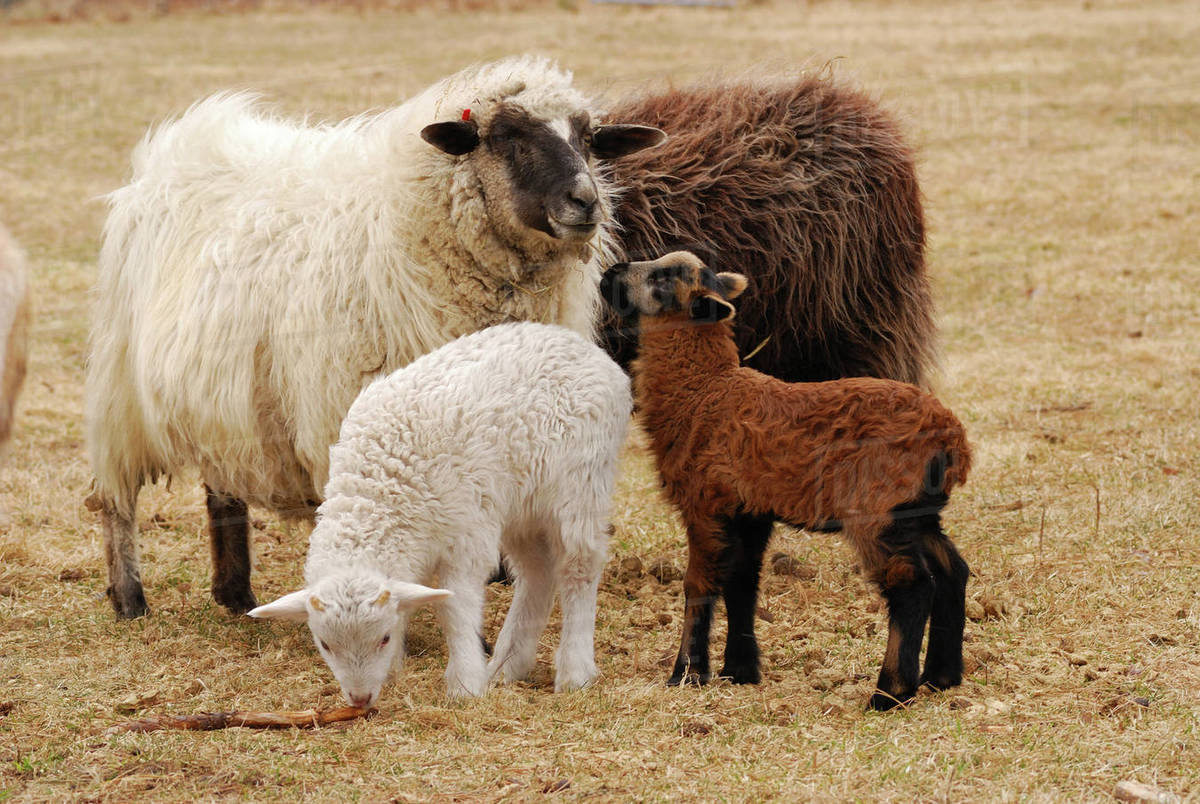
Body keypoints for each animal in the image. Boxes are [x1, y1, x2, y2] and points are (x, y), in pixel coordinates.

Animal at [85, 56, 664, 619]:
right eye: (505, 137)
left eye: (588, 138)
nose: (586, 201)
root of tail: (179, 143)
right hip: (120, 390)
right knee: (117, 502)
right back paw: (130, 599)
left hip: (223, 397)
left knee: (222, 485)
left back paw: (235, 594)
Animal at [247, 322, 631, 705]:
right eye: (325, 645)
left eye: (383, 638)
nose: (360, 699)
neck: (382, 487)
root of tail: (580, 345)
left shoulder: (466, 536)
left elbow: (454, 611)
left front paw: (465, 684)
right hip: (522, 504)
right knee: (537, 572)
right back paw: (507, 666)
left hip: (581, 484)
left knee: (578, 567)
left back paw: (575, 671)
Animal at [601, 251, 971, 711]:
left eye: (663, 278)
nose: (610, 272)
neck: (705, 390)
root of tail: (951, 438)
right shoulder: (748, 510)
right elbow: (742, 583)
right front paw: (739, 671)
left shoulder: (705, 503)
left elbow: (698, 586)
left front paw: (686, 673)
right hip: (916, 510)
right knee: (953, 571)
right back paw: (942, 677)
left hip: (877, 509)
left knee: (912, 585)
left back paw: (890, 693)